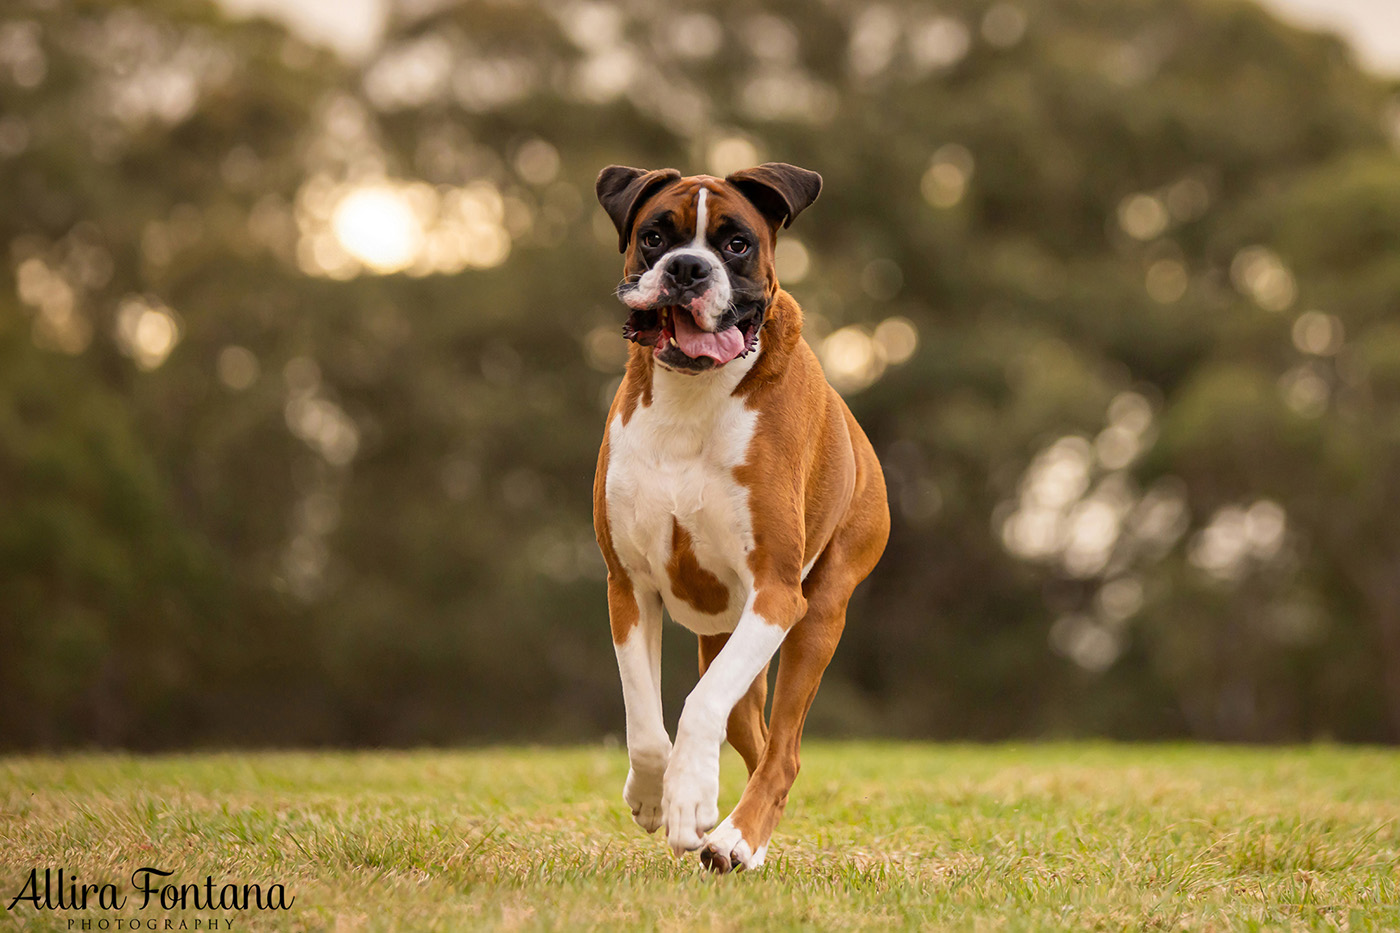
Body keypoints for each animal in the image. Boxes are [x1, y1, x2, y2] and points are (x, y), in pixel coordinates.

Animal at [590, 161, 884, 874]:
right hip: (730, 637)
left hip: (816, 617)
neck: (691, 391)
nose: (688, 268)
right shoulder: (628, 588)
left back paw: (735, 839)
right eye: (654, 236)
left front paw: (690, 801)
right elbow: (644, 716)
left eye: (737, 244)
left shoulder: (776, 593)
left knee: (784, 751)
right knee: (756, 737)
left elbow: (697, 706)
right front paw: (653, 794)